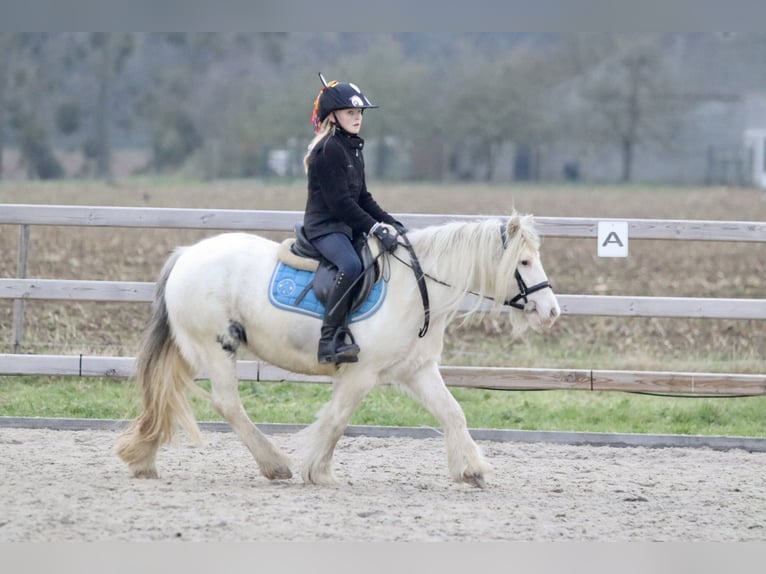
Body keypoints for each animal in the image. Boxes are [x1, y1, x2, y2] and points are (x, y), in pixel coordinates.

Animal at [115, 214, 560, 488]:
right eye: (524, 261)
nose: (552, 311)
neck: (415, 288)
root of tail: (185, 255)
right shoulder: (360, 374)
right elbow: (337, 418)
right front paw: (317, 472)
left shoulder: (416, 370)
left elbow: (453, 413)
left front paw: (472, 471)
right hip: (216, 347)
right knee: (228, 404)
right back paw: (275, 463)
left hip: (190, 350)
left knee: (164, 393)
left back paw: (142, 459)